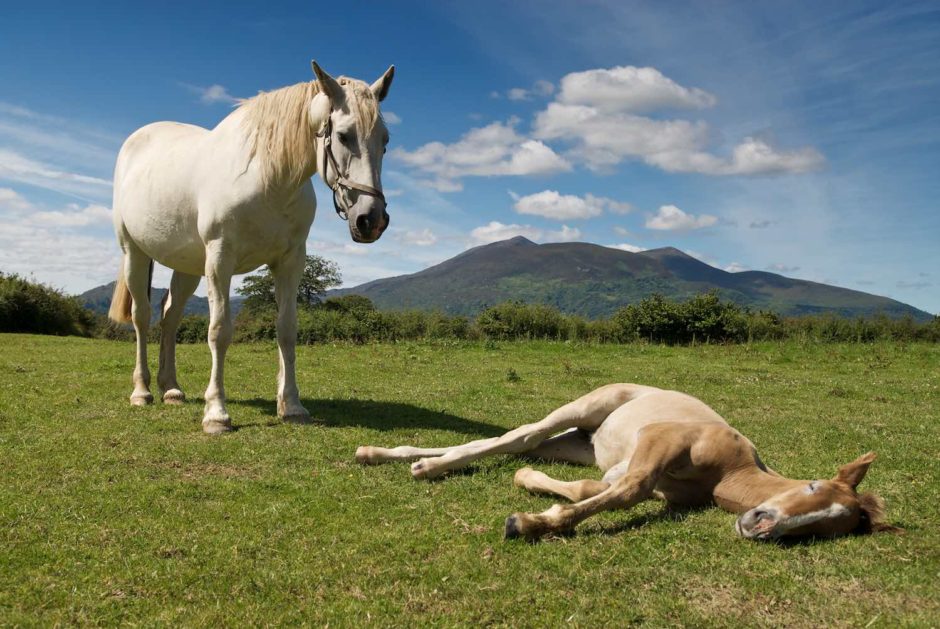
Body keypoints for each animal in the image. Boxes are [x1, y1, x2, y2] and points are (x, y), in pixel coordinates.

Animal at [109, 62, 392, 432]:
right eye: (344, 136)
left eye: (385, 141)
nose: (371, 219)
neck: (268, 176)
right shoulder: (220, 259)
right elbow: (219, 332)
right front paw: (216, 413)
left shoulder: (290, 262)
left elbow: (286, 330)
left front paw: (292, 406)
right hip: (135, 253)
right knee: (142, 318)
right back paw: (142, 391)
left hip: (187, 267)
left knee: (169, 318)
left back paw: (170, 388)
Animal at [354, 382, 896, 540]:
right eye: (812, 487)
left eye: (823, 529)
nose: (760, 524)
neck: (729, 471)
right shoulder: (660, 440)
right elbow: (627, 492)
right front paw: (527, 523)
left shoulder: (635, 475)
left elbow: (595, 491)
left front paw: (533, 497)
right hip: (584, 408)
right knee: (518, 434)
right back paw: (421, 466)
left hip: (575, 443)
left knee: (518, 444)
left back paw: (383, 454)